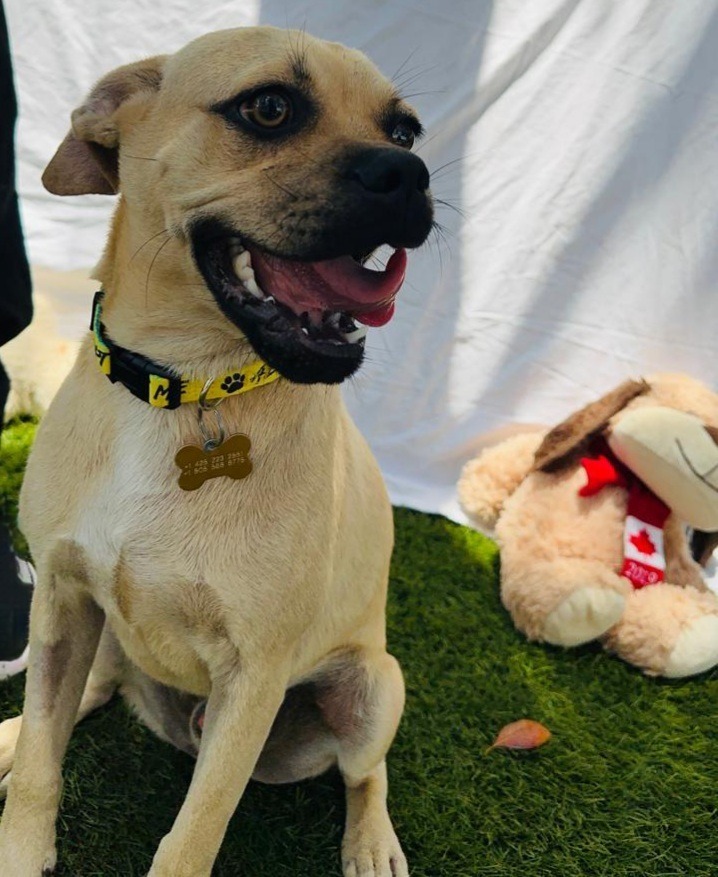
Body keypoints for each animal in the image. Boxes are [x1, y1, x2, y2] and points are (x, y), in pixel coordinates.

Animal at [0, 24, 434, 872]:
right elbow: (41, 763)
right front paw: (19, 841)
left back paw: (373, 843)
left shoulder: (254, 676)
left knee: (366, 772)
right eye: (269, 107)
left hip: (376, 684)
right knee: (81, 695)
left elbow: (192, 836)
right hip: (98, 633)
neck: (180, 390)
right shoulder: (62, 596)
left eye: (404, 131)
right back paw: (8, 734)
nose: (409, 174)